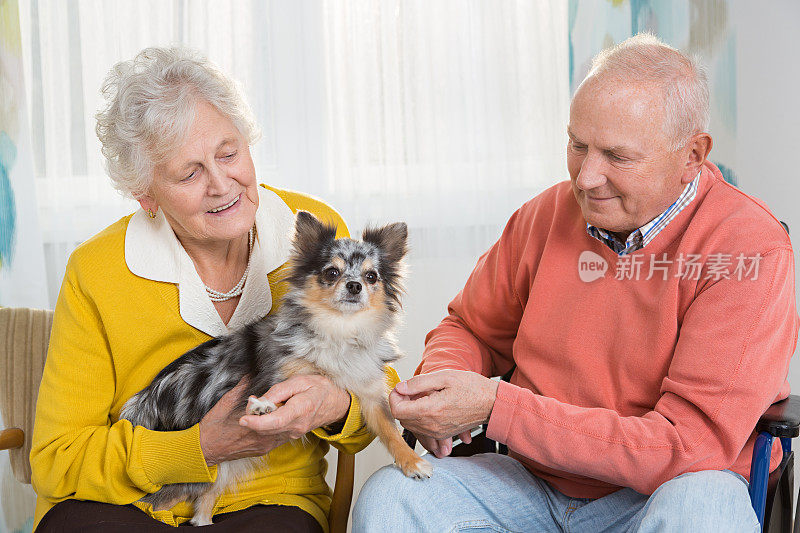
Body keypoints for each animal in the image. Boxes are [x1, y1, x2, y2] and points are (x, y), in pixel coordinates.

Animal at [119, 211, 428, 524]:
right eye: (332, 272)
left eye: (371, 276)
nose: (355, 285)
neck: (339, 329)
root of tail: (145, 401)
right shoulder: (278, 374)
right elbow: (276, 394)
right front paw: (263, 406)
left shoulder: (369, 395)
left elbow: (389, 430)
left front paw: (412, 461)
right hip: (193, 476)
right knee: (157, 502)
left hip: (220, 471)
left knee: (203, 502)